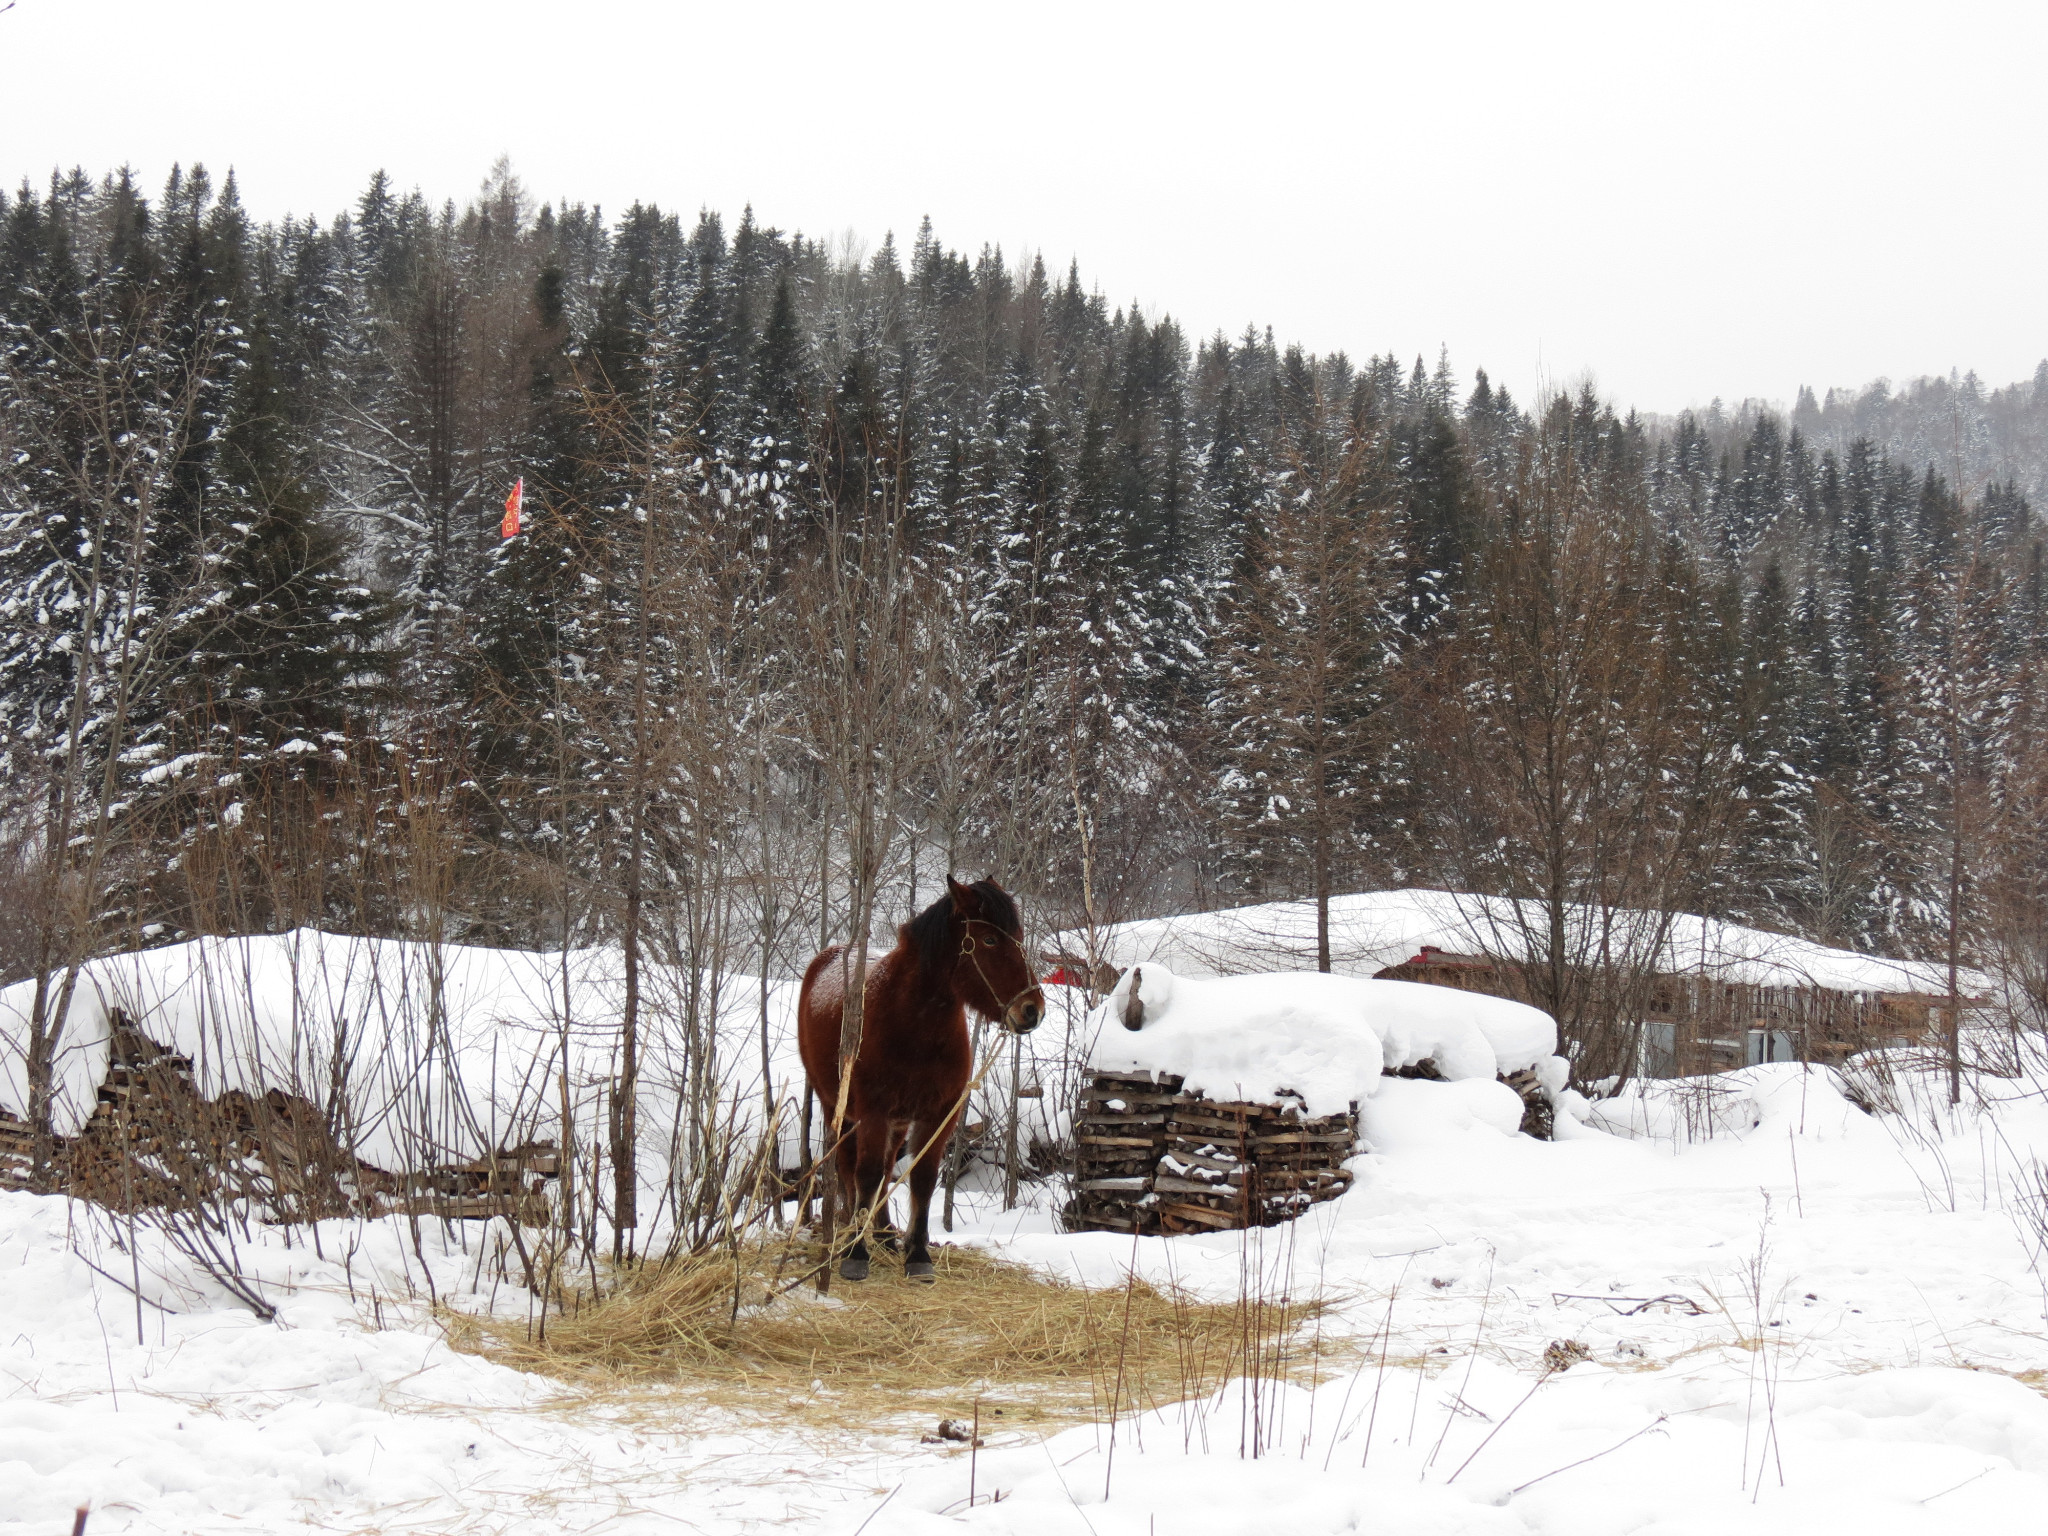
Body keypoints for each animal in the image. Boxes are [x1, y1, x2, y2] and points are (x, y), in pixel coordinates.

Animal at [798, 876, 1048, 1286]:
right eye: (989, 940)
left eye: (1018, 936)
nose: (1032, 1010)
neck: (914, 1024)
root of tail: (829, 956)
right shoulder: (873, 1111)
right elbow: (867, 1174)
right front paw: (856, 1254)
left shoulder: (938, 1114)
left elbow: (923, 1178)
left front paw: (917, 1254)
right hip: (838, 1106)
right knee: (850, 1168)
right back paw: (851, 1232)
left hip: (898, 1121)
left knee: (886, 1170)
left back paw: (884, 1234)